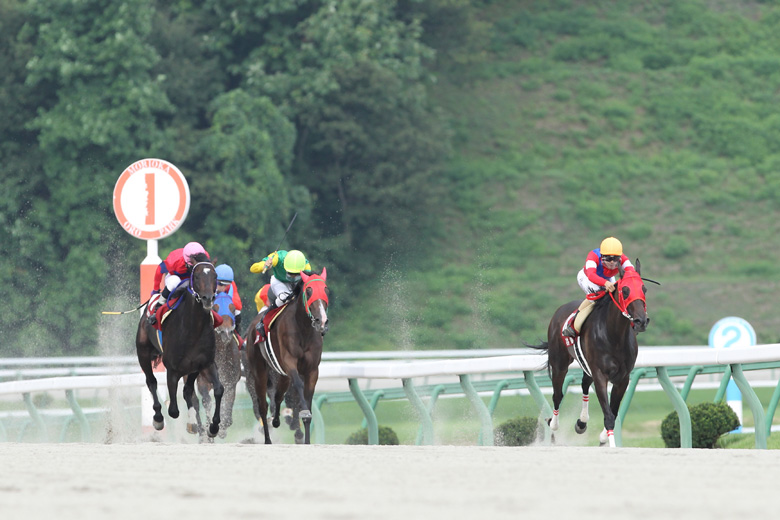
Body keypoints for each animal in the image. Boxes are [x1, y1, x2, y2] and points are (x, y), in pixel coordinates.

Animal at [135, 257, 224, 438]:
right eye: (196, 276)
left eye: (215, 275)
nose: (208, 299)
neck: (193, 328)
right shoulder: (173, 369)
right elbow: (173, 410)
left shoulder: (206, 363)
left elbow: (218, 389)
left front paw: (213, 426)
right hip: (143, 353)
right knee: (152, 382)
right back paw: (158, 418)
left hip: (194, 368)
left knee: (188, 390)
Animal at [195, 292, 241, 439]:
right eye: (215, 308)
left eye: (233, 308)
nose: (226, 332)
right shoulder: (202, 381)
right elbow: (206, 401)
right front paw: (209, 428)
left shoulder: (231, 382)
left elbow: (228, 414)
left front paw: (221, 429)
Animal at [245, 268, 329, 444]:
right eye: (309, 291)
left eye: (326, 290)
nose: (322, 321)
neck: (304, 330)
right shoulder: (290, 363)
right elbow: (298, 385)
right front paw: (304, 413)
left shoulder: (312, 370)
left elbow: (306, 397)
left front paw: (306, 440)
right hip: (259, 372)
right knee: (262, 406)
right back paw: (268, 440)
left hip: (282, 374)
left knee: (278, 396)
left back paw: (277, 420)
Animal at [531, 259, 649, 447]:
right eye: (625, 290)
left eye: (644, 289)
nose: (641, 321)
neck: (614, 335)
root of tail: (560, 310)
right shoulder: (600, 374)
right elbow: (608, 415)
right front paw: (611, 444)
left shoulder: (622, 378)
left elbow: (613, 412)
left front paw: (602, 437)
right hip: (559, 363)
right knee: (558, 395)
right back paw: (553, 424)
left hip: (586, 364)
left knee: (585, 384)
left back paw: (581, 422)